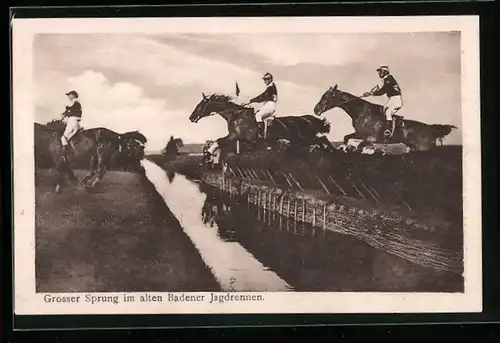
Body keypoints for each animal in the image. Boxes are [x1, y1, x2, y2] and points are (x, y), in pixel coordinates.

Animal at [189, 93, 334, 165]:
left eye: (200, 105)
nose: (191, 117)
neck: (236, 115)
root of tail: (305, 119)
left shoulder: (237, 136)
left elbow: (218, 141)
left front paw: (206, 156)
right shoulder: (233, 137)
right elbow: (217, 141)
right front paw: (205, 157)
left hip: (305, 138)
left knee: (323, 140)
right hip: (300, 141)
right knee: (321, 141)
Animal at [314, 84, 458, 150]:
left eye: (325, 97)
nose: (316, 110)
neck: (362, 112)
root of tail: (432, 129)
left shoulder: (370, 138)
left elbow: (360, 146)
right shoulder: (359, 134)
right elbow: (346, 137)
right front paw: (343, 147)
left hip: (424, 148)